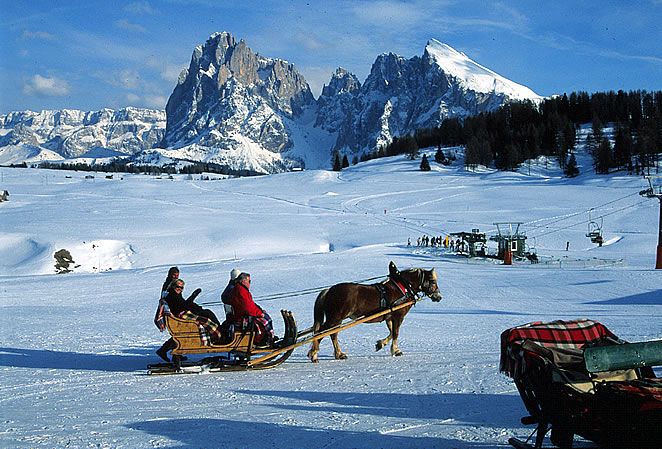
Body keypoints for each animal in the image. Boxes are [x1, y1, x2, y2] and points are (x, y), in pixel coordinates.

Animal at [308, 260, 444, 362]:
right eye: (433, 281)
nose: (439, 297)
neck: (403, 288)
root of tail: (329, 291)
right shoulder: (398, 315)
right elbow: (396, 333)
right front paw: (396, 350)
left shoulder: (389, 317)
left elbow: (391, 332)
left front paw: (381, 344)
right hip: (335, 318)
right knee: (324, 333)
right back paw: (317, 353)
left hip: (336, 319)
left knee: (329, 333)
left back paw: (334, 354)